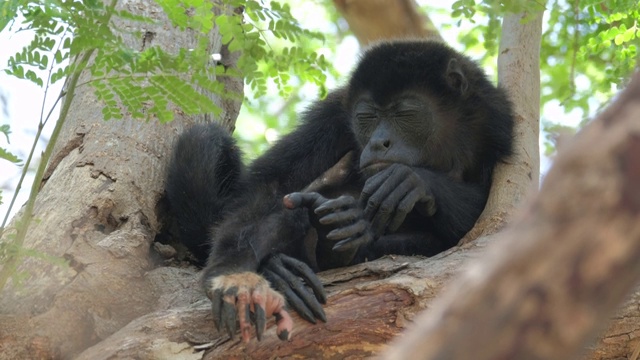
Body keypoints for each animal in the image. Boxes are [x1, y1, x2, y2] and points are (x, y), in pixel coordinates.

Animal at [166, 40, 516, 344]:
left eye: (405, 114)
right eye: (367, 117)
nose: (379, 142)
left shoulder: (496, 122)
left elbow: (482, 221)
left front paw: (412, 180)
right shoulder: (334, 113)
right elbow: (269, 185)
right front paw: (234, 278)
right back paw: (286, 266)